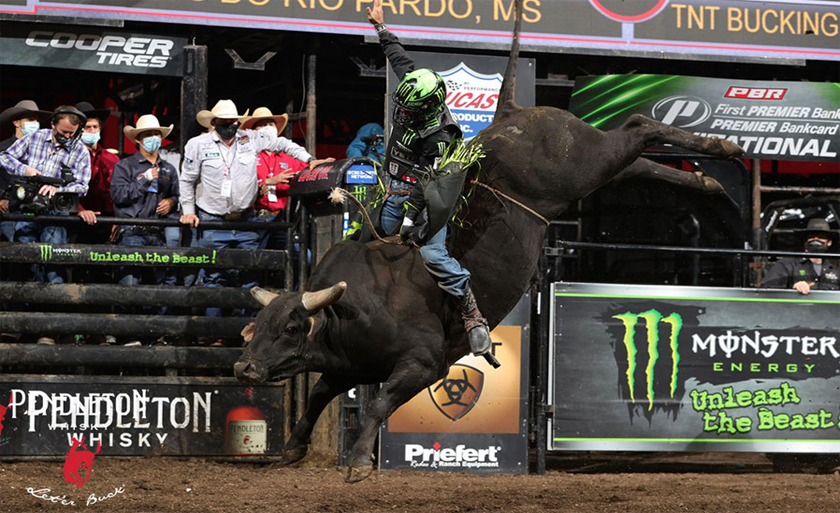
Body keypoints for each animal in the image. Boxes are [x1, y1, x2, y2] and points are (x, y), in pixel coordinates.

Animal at [235, 0, 740, 482]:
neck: (353, 305)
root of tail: (513, 112)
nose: (244, 368)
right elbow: (319, 393)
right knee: (638, 161)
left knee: (638, 125)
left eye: (291, 328)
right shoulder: (351, 364)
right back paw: (711, 180)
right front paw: (294, 447)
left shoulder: (423, 365)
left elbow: (376, 405)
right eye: (256, 327)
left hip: (582, 160)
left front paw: (358, 463)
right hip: (591, 171)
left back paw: (724, 149)